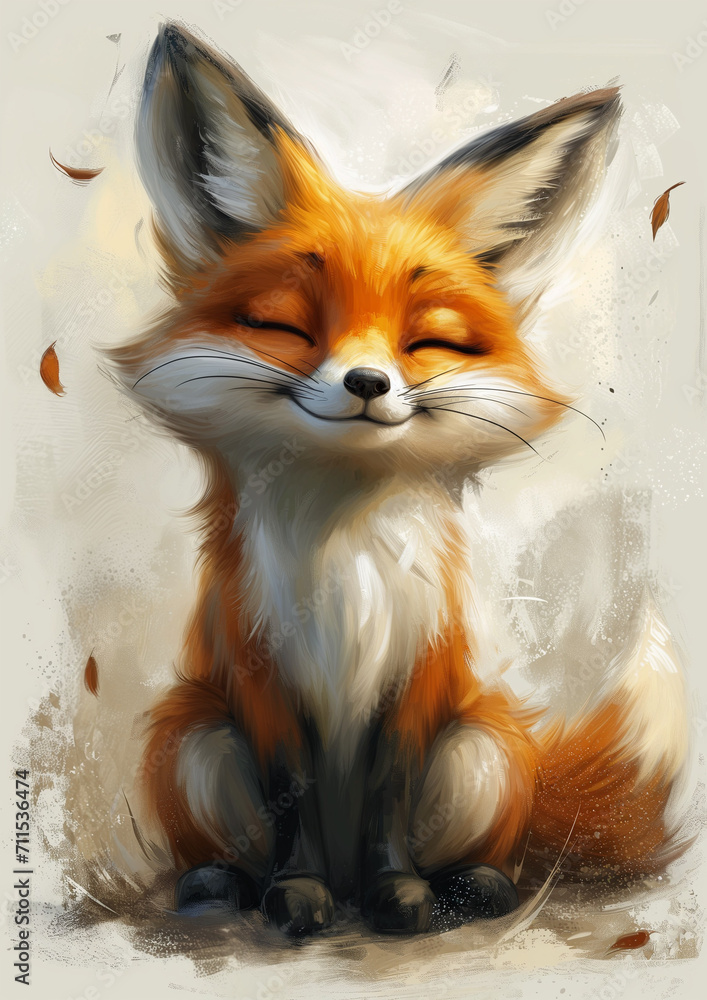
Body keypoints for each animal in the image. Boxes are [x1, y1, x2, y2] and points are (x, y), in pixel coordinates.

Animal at [108, 23, 689, 936]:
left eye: (429, 341)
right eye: (285, 325)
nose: (366, 383)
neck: (345, 562)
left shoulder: (417, 677)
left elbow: (389, 798)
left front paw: (401, 898)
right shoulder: (261, 677)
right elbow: (287, 802)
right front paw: (295, 895)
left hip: (482, 748)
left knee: (490, 853)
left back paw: (467, 889)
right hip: (194, 741)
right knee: (227, 846)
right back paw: (222, 888)